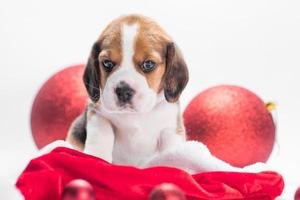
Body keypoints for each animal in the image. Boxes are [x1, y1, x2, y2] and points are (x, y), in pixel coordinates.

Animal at [67, 14, 189, 166]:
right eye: (107, 63)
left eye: (148, 64)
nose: (124, 91)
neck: (134, 116)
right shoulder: (97, 113)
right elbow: (102, 133)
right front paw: (97, 157)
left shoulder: (171, 127)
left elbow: (171, 148)